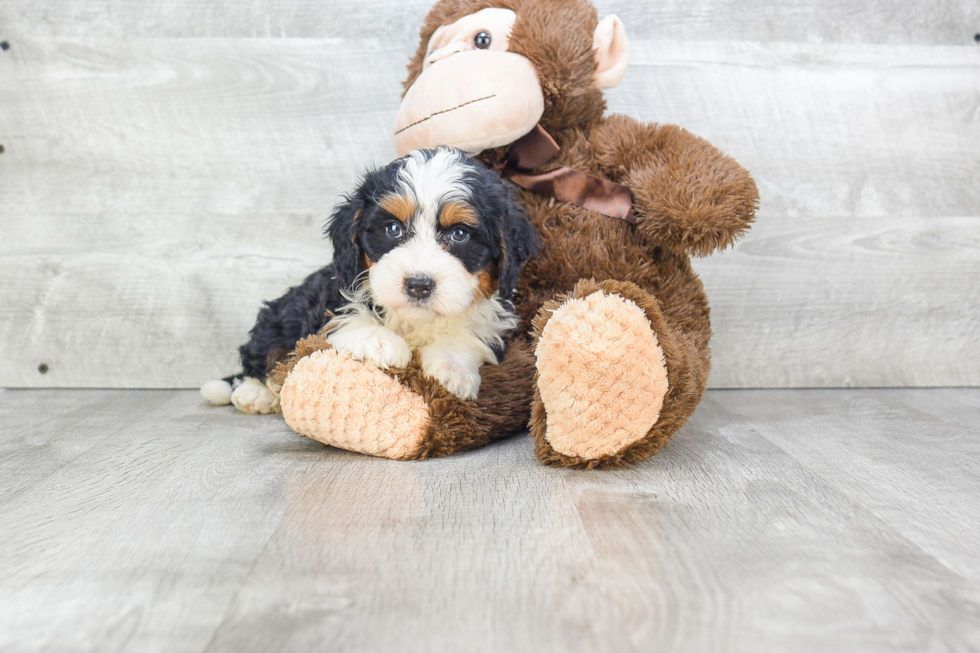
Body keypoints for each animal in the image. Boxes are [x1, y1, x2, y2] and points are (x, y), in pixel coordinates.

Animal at [199, 148, 536, 412]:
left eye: (460, 234)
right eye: (393, 229)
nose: (418, 285)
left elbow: (465, 335)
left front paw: (452, 370)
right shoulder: (331, 298)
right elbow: (344, 320)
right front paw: (380, 342)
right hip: (278, 317)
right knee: (260, 355)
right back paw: (252, 392)